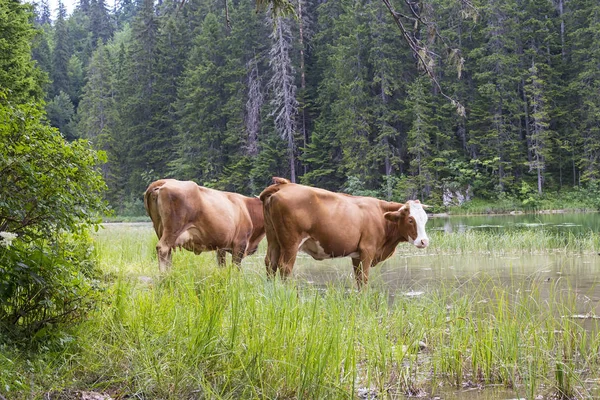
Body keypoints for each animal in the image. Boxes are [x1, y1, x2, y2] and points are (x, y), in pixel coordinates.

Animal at [260, 178, 428, 288]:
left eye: (425, 218)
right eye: (410, 220)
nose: (424, 241)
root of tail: (283, 186)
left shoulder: (357, 255)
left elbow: (358, 280)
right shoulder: (367, 250)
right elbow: (364, 279)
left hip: (273, 239)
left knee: (270, 263)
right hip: (291, 243)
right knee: (285, 267)